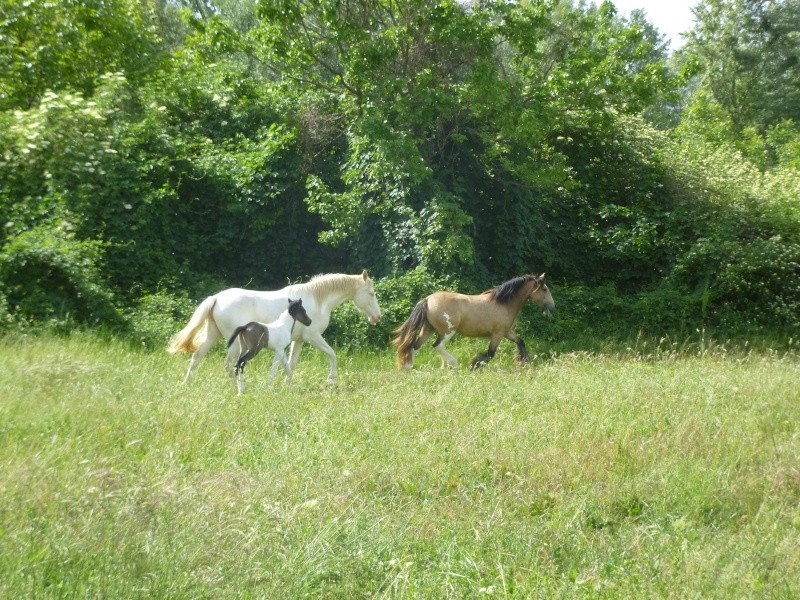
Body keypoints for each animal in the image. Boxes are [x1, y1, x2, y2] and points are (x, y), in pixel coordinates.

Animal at [166, 270, 382, 382]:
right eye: (371, 293)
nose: (377, 317)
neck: (317, 301)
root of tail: (217, 298)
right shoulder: (313, 337)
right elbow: (332, 354)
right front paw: (332, 380)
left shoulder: (298, 341)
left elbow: (290, 363)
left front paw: (286, 382)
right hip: (234, 344)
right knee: (229, 363)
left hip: (212, 335)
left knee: (196, 358)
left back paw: (187, 383)